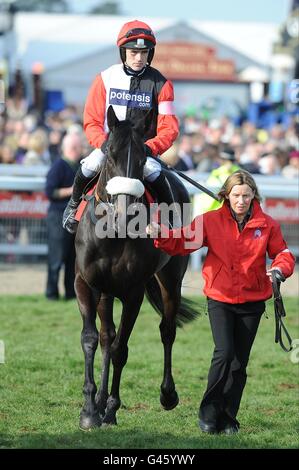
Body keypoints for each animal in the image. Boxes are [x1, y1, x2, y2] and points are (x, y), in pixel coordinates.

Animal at [74, 106, 199, 430]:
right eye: (109, 153)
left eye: (143, 158)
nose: (123, 213)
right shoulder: (86, 283)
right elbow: (92, 340)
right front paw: (90, 409)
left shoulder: (133, 292)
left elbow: (121, 349)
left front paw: (110, 408)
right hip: (106, 292)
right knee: (107, 336)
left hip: (171, 279)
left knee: (167, 330)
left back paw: (167, 394)